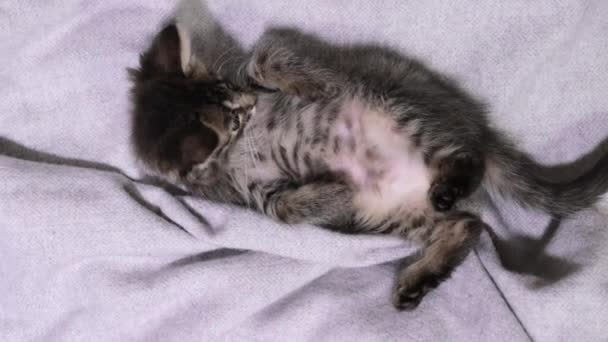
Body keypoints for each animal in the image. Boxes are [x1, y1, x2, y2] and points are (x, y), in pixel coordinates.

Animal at [131, 24, 608, 310]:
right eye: (233, 118)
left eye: (232, 94)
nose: (247, 105)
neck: (236, 150)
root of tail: (473, 125)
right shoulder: (258, 195)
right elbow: (285, 210)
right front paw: (337, 191)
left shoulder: (265, 66)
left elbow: (267, 57)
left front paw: (317, 85)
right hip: (394, 213)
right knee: (467, 225)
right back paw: (418, 278)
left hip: (400, 109)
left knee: (468, 159)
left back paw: (453, 180)